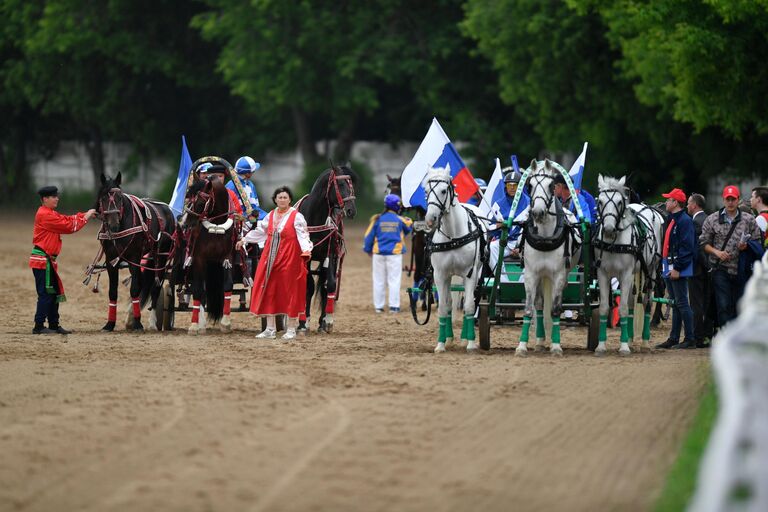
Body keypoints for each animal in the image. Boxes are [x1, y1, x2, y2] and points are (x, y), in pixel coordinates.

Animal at [94, 173, 177, 332]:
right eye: (103, 197)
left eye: (120, 198)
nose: (113, 224)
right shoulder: (111, 261)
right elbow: (113, 292)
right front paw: (110, 324)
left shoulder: (135, 258)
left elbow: (135, 289)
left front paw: (138, 323)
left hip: (161, 257)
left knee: (156, 287)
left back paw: (152, 322)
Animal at [424, 166, 488, 354]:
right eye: (426, 191)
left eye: (443, 190)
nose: (430, 219)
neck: (453, 235)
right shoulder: (440, 275)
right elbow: (444, 308)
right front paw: (440, 344)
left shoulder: (470, 274)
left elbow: (469, 306)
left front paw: (471, 343)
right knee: (451, 303)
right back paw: (450, 338)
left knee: (470, 300)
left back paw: (465, 338)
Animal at [516, 160, 584, 356]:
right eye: (530, 185)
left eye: (551, 185)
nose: (538, 212)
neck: (545, 238)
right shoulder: (531, 274)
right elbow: (529, 309)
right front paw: (522, 346)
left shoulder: (559, 275)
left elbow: (554, 310)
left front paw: (556, 346)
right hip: (541, 275)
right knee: (539, 304)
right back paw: (539, 341)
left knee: (556, 304)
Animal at [592, 174, 664, 354]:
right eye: (600, 201)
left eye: (619, 202)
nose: (608, 229)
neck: (614, 243)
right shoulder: (603, 273)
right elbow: (605, 307)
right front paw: (601, 346)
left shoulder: (625, 274)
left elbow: (623, 308)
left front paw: (623, 347)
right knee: (632, 301)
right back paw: (630, 338)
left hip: (651, 270)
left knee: (647, 302)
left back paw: (644, 341)